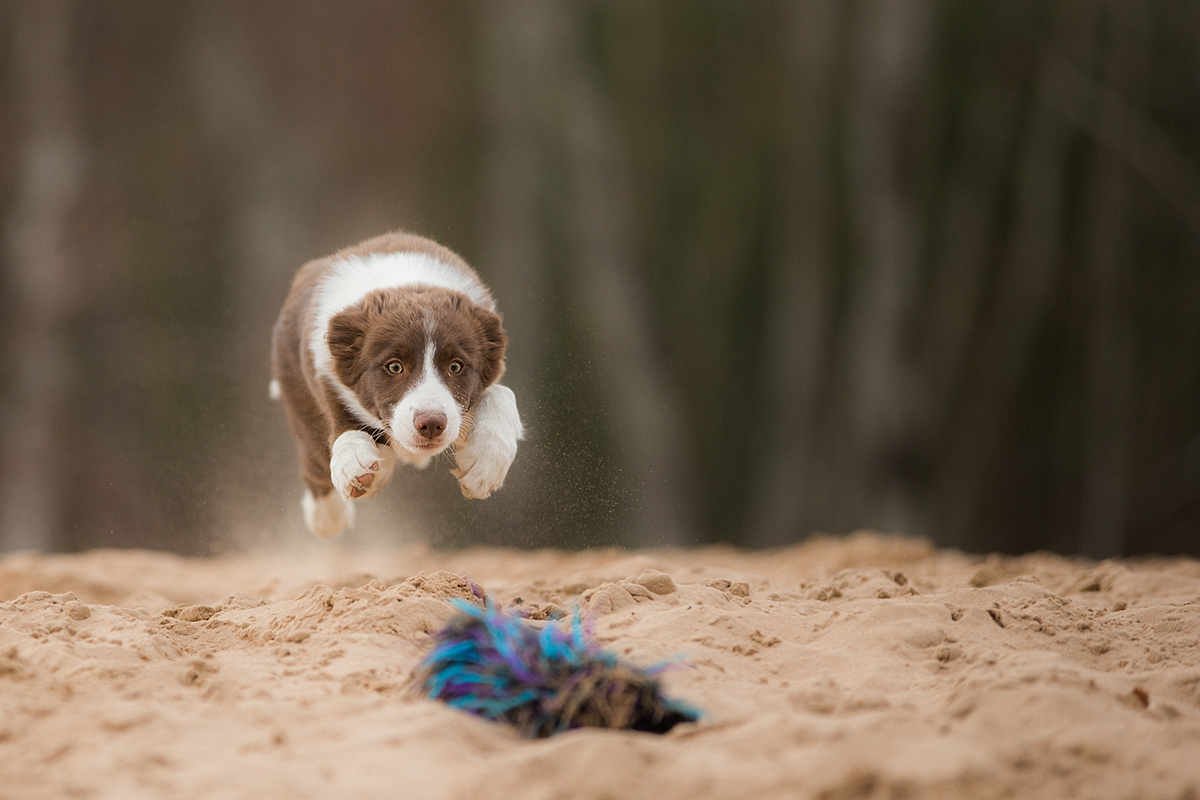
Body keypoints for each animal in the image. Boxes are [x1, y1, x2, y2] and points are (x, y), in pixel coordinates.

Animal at [273, 235, 525, 542]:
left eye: (456, 367)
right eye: (394, 367)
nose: (431, 424)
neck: (406, 280)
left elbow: (501, 394)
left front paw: (484, 466)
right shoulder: (325, 375)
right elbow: (344, 428)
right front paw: (354, 465)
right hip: (297, 393)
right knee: (316, 460)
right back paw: (327, 517)